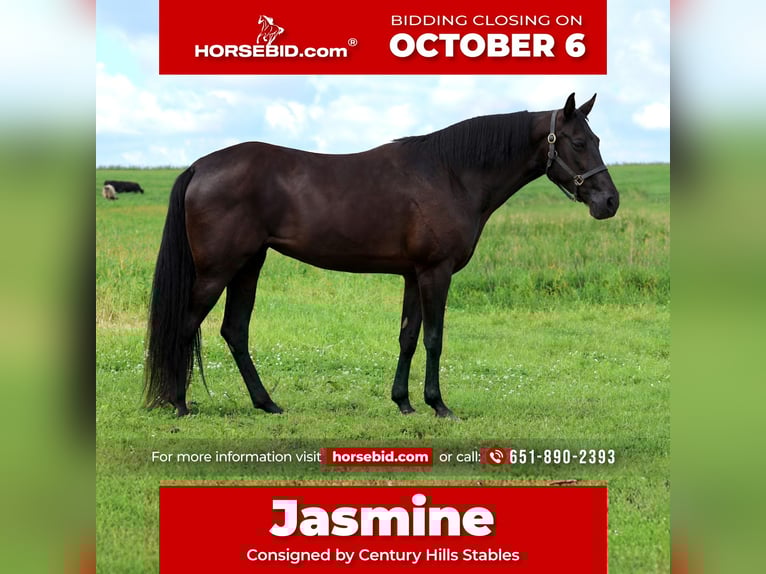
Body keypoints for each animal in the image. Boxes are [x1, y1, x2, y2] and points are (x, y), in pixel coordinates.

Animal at [144, 93, 619, 419]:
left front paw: (404, 403)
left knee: (235, 331)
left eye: (597, 138)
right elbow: (434, 338)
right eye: (579, 142)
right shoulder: (435, 273)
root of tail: (200, 166)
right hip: (217, 270)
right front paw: (439, 405)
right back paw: (180, 404)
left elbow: (408, 336)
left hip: (249, 264)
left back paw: (267, 404)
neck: (450, 174)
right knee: (186, 325)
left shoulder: (413, 275)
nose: (609, 202)